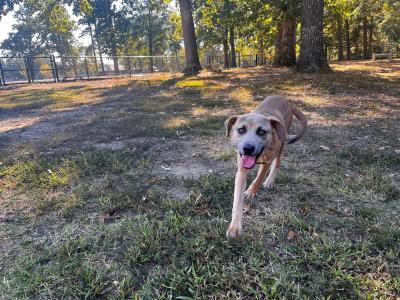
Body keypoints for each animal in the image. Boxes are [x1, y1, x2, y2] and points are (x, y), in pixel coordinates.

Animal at [225, 95, 306, 238]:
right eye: (241, 130)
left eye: (261, 131)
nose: (248, 148)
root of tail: (288, 103)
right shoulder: (241, 171)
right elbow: (237, 200)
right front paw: (234, 227)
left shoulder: (267, 162)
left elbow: (259, 178)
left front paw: (251, 191)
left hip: (282, 142)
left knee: (277, 162)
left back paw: (269, 180)